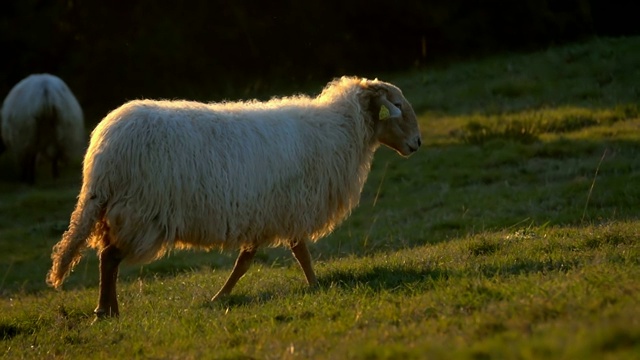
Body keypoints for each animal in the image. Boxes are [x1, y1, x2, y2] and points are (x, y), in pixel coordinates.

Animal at [47, 76, 422, 318]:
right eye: (398, 106)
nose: (418, 144)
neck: (340, 131)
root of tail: (103, 153)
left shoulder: (265, 212)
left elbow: (247, 261)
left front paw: (221, 296)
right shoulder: (292, 207)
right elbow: (300, 253)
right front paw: (316, 286)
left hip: (120, 210)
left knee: (106, 256)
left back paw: (108, 307)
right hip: (140, 212)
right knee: (110, 257)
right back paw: (106, 310)